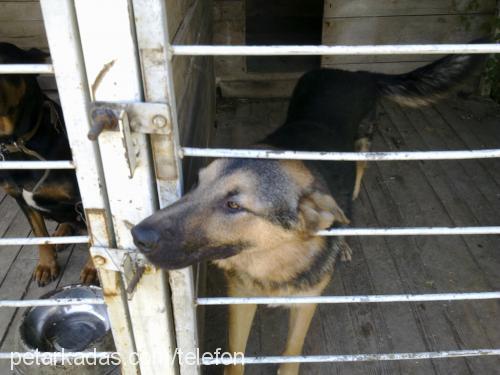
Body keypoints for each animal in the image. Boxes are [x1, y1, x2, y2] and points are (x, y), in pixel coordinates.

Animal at [0, 42, 95, 286]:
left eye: (6, 61)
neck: (19, 145)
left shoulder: (83, 199)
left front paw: (93, 268)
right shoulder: (20, 199)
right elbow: (39, 235)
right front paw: (46, 265)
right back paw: (61, 233)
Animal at [132, 51, 484, 374]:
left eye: (234, 205)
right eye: (197, 183)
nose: (138, 236)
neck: (275, 259)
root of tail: (355, 73)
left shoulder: (306, 302)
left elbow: (291, 353)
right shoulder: (240, 299)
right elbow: (235, 357)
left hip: (361, 150)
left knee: (354, 189)